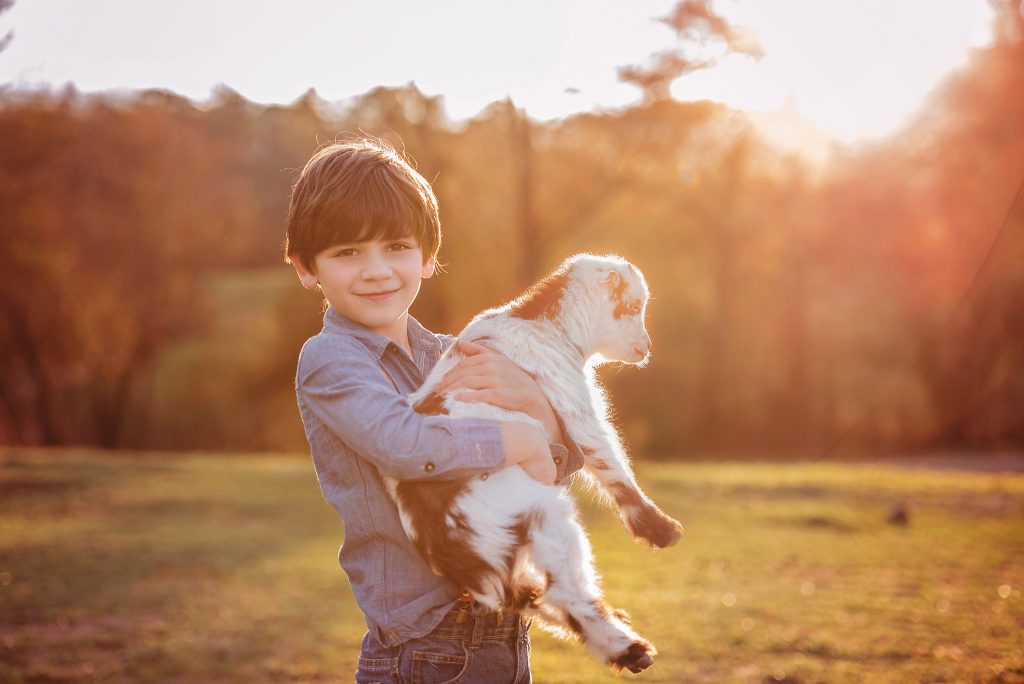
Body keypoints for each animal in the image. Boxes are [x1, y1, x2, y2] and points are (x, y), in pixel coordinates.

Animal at [387, 252, 675, 671]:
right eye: (634, 306)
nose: (646, 348)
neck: (544, 324)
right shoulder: (574, 404)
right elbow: (611, 464)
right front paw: (659, 529)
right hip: (539, 512)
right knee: (560, 590)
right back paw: (631, 648)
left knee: (532, 597)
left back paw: (625, 647)